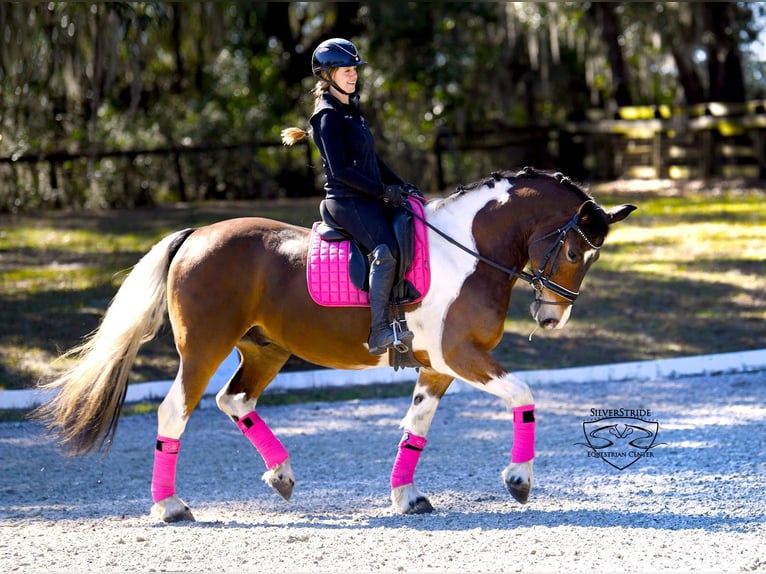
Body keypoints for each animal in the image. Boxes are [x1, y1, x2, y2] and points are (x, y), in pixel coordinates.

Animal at [31, 167, 636, 522]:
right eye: (576, 253)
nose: (552, 316)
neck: (467, 249)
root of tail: (197, 235)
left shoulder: (438, 367)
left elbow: (415, 428)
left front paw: (407, 497)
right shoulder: (459, 356)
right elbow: (524, 395)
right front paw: (518, 480)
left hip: (265, 349)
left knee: (235, 400)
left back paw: (280, 475)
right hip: (204, 347)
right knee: (174, 412)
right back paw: (170, 506)